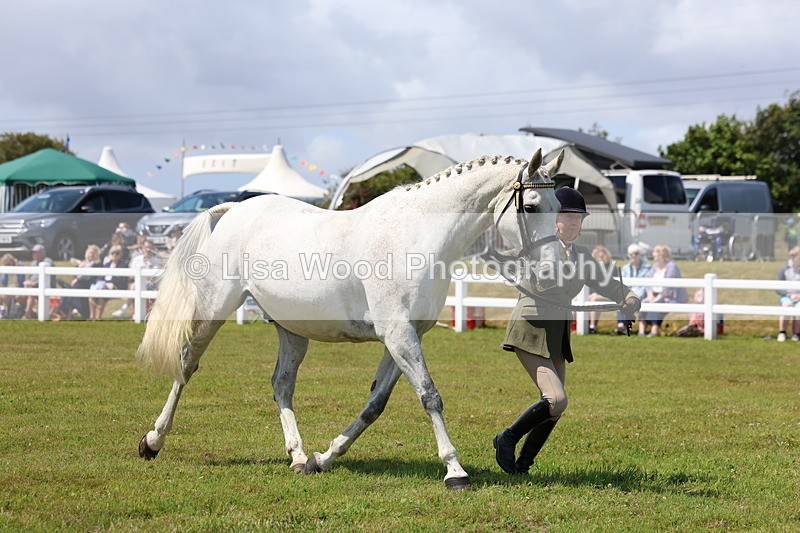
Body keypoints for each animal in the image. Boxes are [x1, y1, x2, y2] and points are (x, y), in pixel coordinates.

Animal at [136, 148, 564, 490]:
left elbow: (375, 404)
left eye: (560, 207)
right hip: (213, 310)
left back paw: (297, 456)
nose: (550, 272)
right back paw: (153, 441)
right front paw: (455, 471)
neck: (418, 234)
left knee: (281, 385)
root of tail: (234, 210)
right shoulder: (399, 333)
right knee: (187, 363)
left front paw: (323, 458)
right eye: (531, 207)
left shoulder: (403, 337)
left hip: (292, 330)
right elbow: (430, 396)